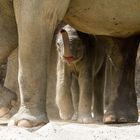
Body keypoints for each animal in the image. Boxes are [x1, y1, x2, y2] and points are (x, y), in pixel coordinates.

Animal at [0, 0, 139, 127]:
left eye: (79, 45)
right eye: (58, 44)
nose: (61, 30)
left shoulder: (87, 56)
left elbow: (34, 19)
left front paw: (24, 123)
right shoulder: (63, 61)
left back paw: (105, 119)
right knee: (120, 43)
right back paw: (117, 119)